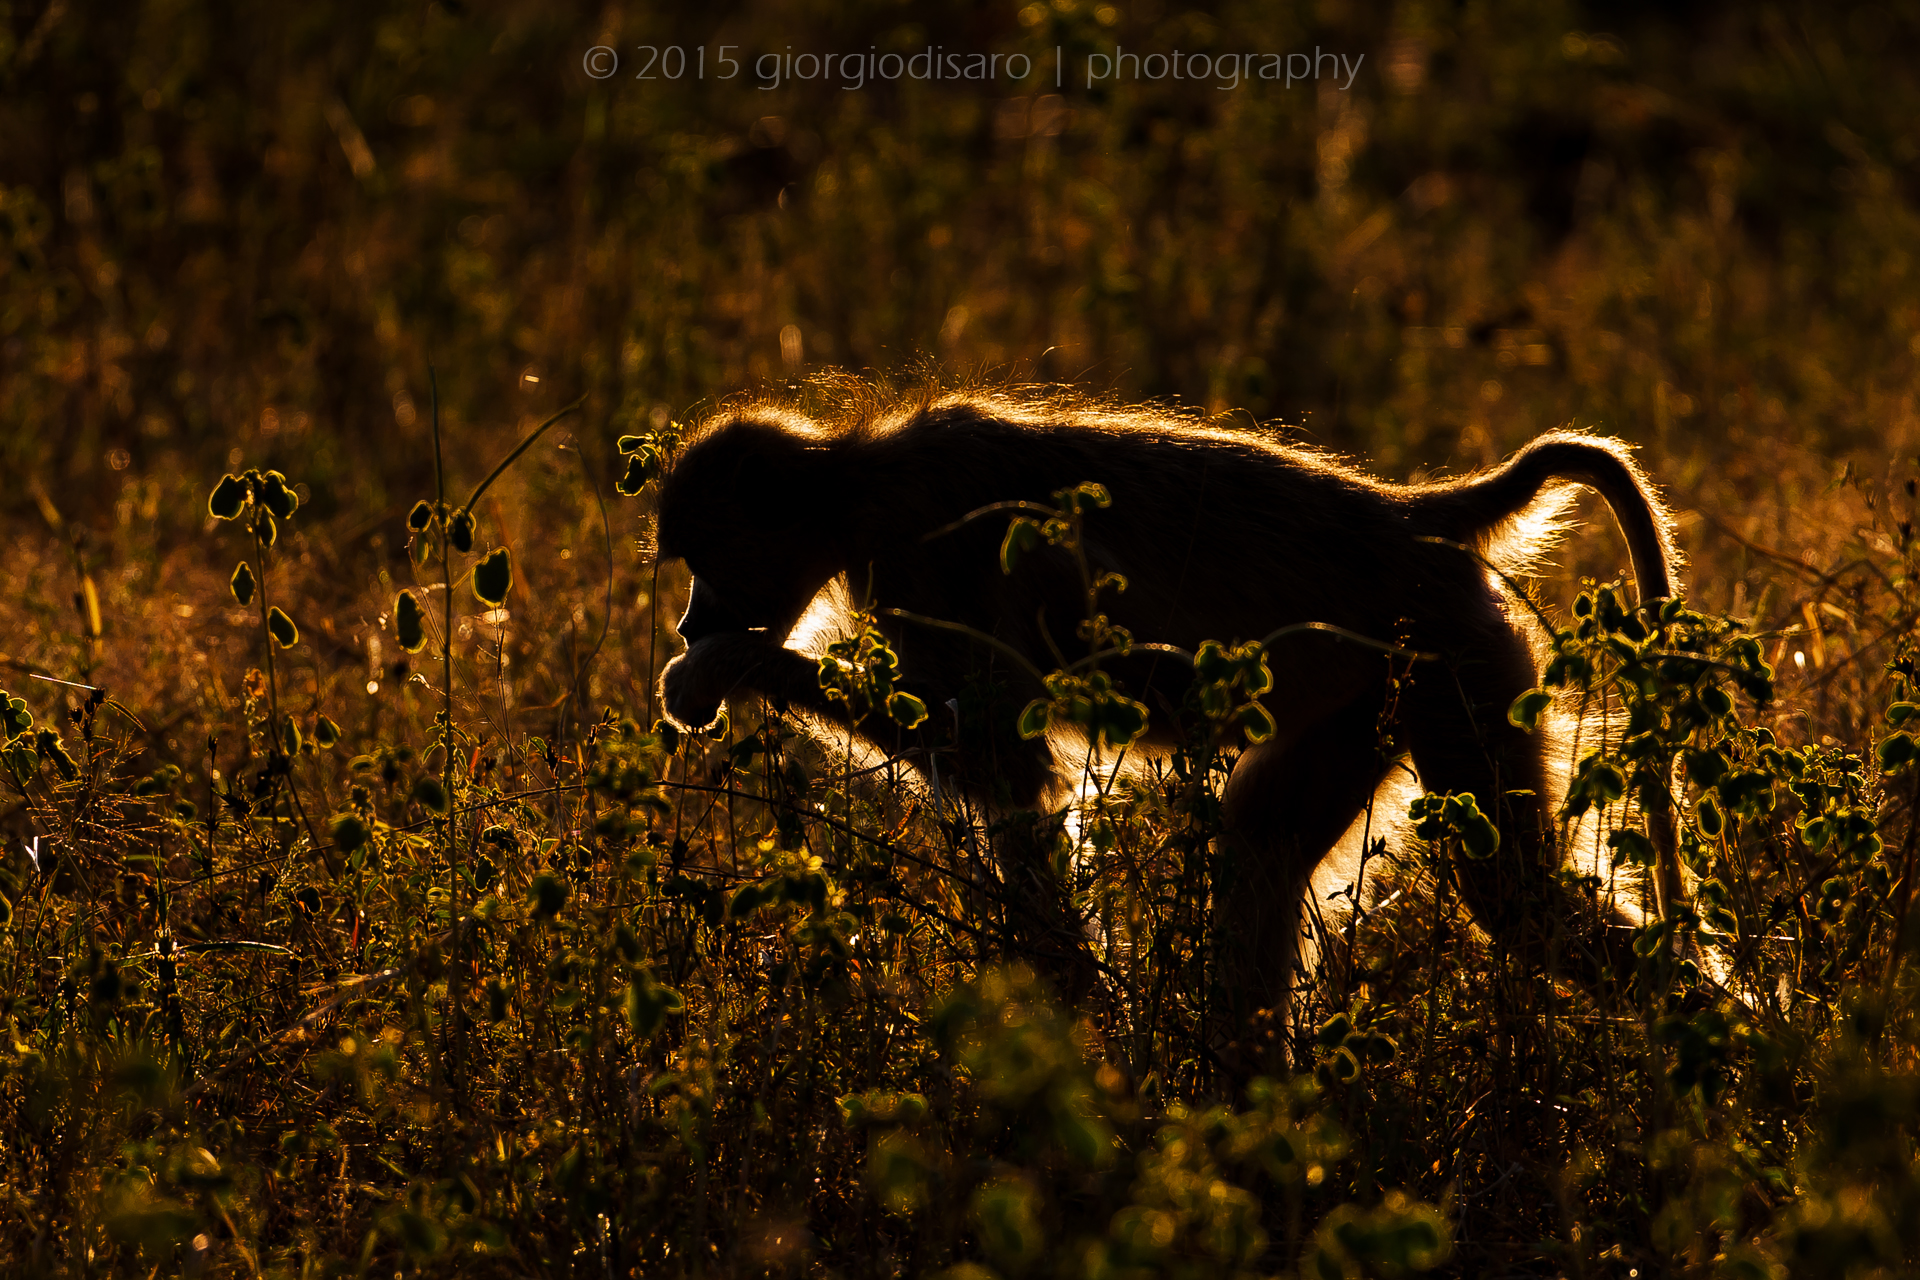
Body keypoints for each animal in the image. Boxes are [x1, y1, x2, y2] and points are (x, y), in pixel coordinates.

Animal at [654, 388, 1681, 1049]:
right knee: (1263, 849)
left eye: (702, 558)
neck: (857, 483)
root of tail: (1415, 514)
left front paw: (723, 669)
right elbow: (1013, 786)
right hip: (1384, 689)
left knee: (1512, 900)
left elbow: (1004, 769)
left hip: (1453, 659)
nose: (690, 622)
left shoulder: (918, 557)